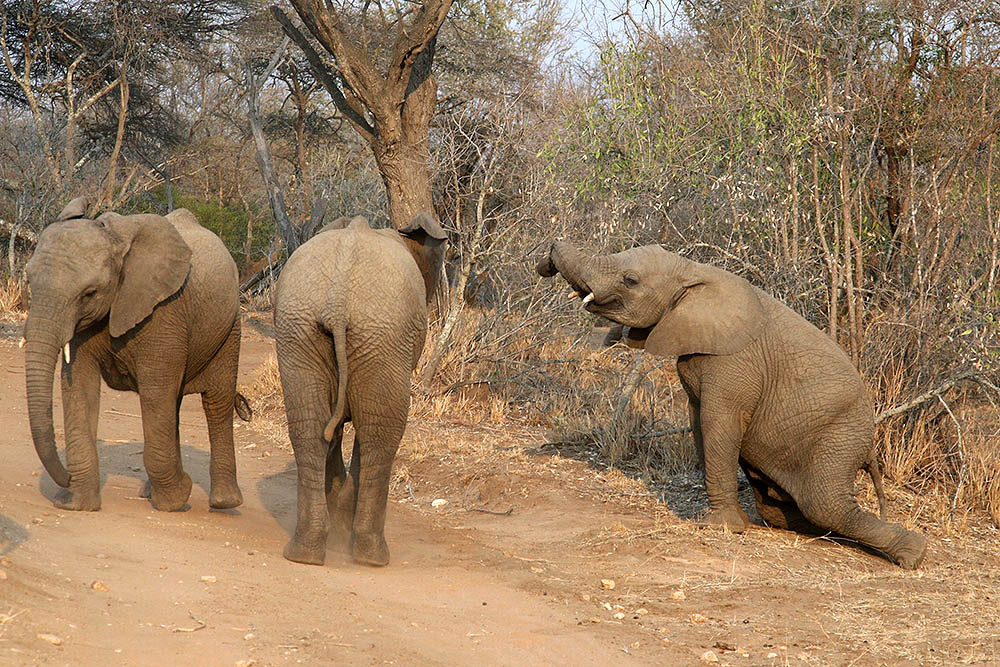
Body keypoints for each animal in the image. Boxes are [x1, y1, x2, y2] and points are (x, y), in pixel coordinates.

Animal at [23, 197, 250, 512]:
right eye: (29, 281)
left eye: (90, 293)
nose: (65, 478)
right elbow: (79, 386)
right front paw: (76, 505)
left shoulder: (164, 313)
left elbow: (156, 391)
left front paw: (176, 500)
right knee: (173, 404)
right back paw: (155, 491)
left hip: (230, 327)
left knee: (215, 402)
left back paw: (223, 502)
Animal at [274, 211, 446, 568]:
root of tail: (338, 301)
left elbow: (332, 427)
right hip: (384, 336)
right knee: (380, 435)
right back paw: (372, 556)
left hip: (298, 329)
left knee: (309, 428)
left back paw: (305, 553)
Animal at [536, 243, 924, 572]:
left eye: (630, 280)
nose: (548, 254)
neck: (692, 272)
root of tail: (869, 444)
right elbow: (699, 423)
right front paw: (732, 521)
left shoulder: (735, 363)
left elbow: (717, 424)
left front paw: (719, 527)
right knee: (786, 508)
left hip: (837, 438)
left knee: (826, 506)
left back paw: (913, 555)